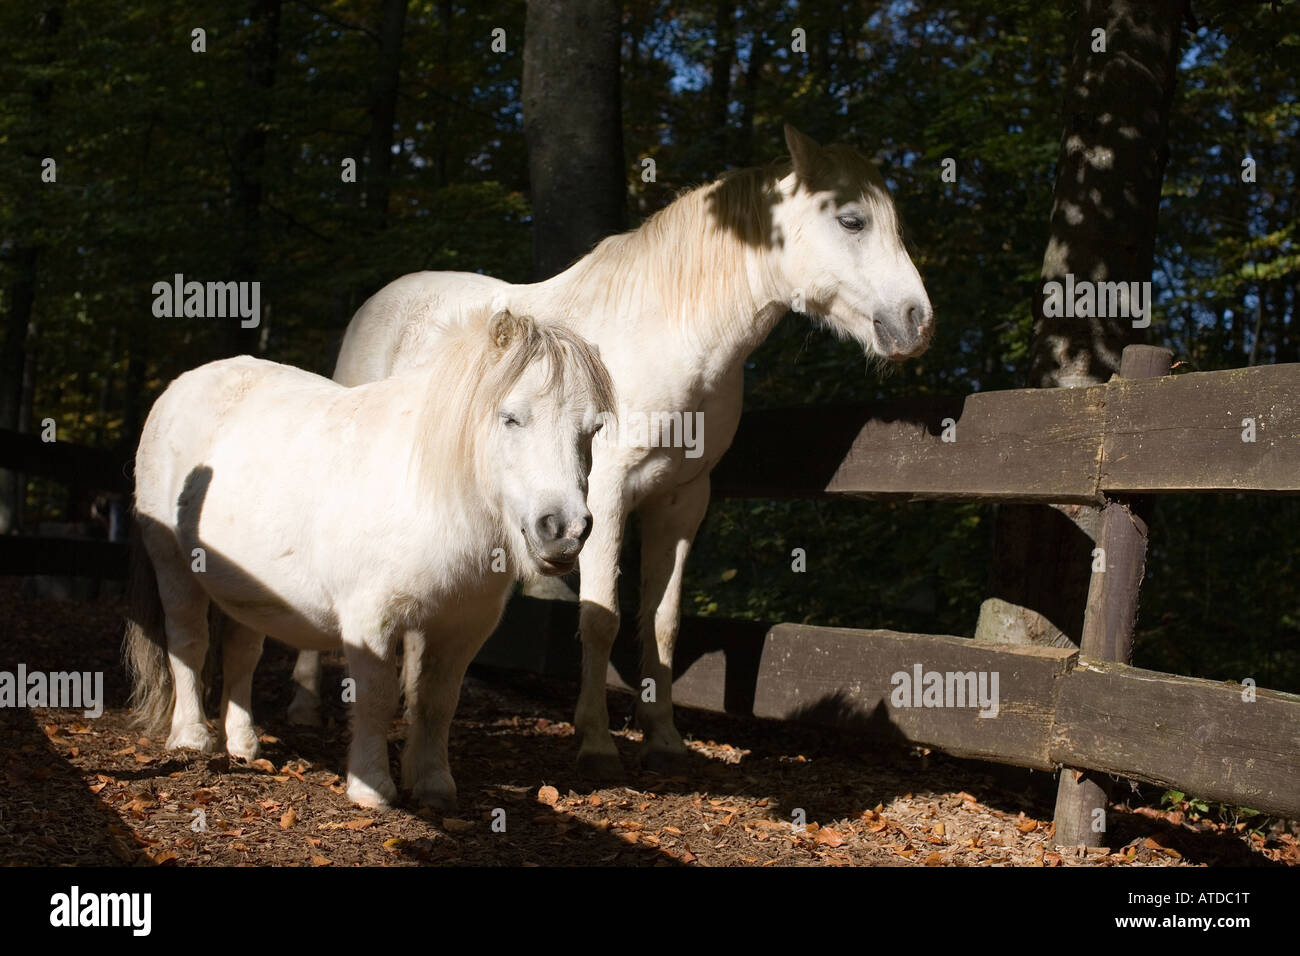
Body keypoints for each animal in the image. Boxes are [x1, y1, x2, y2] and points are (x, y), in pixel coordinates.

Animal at [125, 312, 613, 806]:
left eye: (592, 431)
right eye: (511, 418)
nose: (564, 530)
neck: (430, 490)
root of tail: (180, 386)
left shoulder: (461, 628)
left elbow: (437, 701)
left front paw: (434, 784)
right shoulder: (372, 620)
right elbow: (377, 697)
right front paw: (372, 786)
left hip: (247, 589)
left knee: (241, 653)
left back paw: (243, 743)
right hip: (174, 567)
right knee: (188, 641)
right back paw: (191, 737)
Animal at [288, 125, 935, 780]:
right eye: (852, 220)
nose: (917, 321)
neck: (671, 333)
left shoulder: (683, 500)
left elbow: (663, 623)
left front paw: (664, 739)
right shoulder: (604, 496)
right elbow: (603, 619)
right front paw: (597, 742)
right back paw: (305, 703)